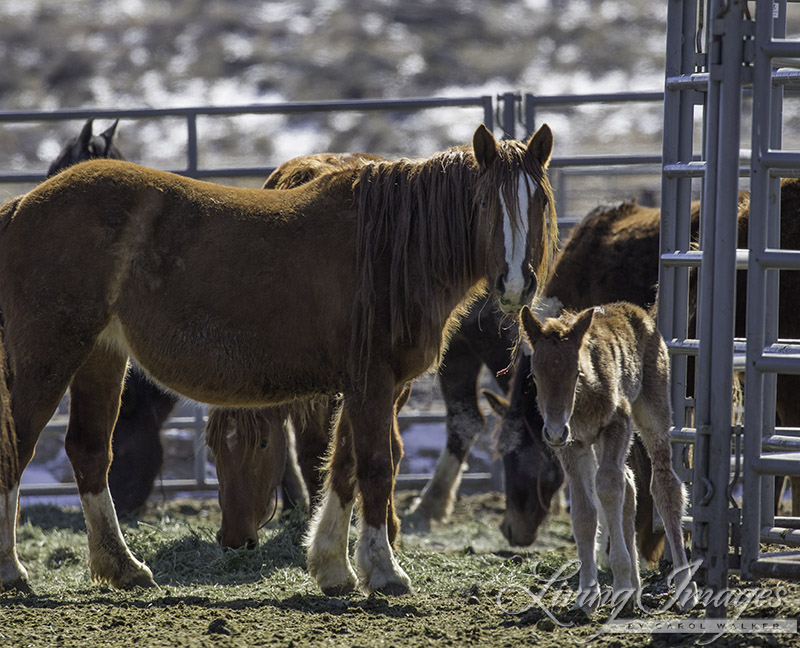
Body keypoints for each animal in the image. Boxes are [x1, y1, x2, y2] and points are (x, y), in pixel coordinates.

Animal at [1, 123, 556, 596]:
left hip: (100, 357)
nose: (514, 285)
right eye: (484, 202)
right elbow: (374, 467)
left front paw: (333, 566)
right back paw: (13, 570)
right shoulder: (372, 382)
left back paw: (123, 567)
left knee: (90, 451)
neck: (392, 247)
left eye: (540, 200)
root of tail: (23, 204)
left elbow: (342, 465)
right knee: (19, 446)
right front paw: (384, 570)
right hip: (50, 355)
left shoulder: (368, 386)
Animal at [520, 304, 696, 612]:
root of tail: (637, 311)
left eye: (575, 373)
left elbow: (609, 489)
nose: (553, 431)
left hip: (653, 407)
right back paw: (637, 587)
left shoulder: (616, 424)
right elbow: (584, 512)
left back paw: (684, 588)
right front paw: (588, 593)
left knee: (664, 484)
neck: (582, 400)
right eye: (534, 376)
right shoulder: (573, 443)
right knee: (629, 482)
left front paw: (622, 585)